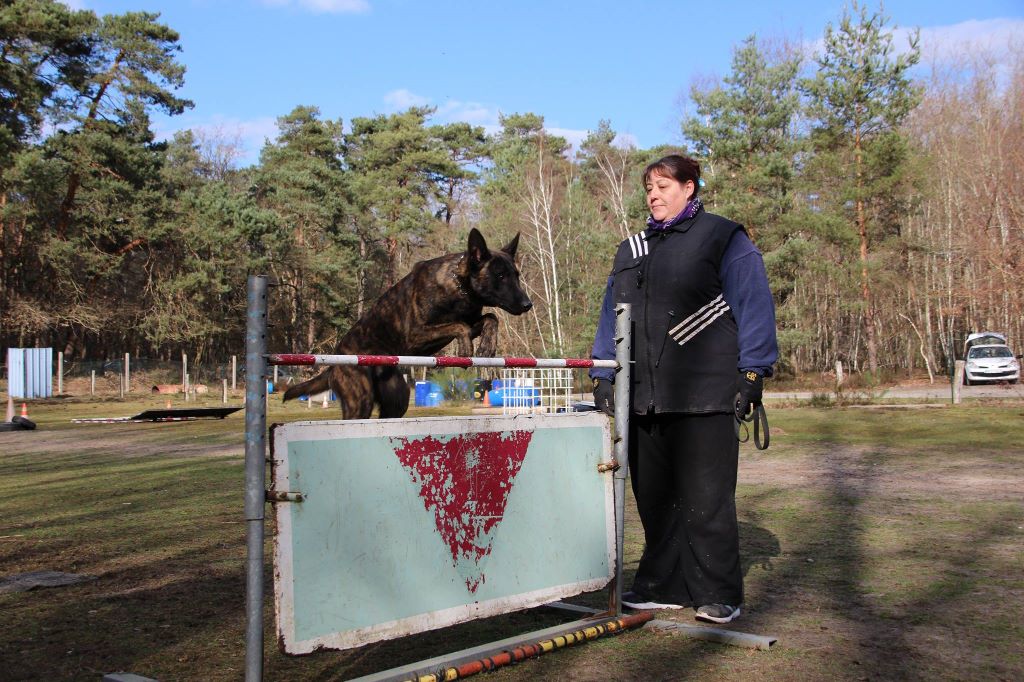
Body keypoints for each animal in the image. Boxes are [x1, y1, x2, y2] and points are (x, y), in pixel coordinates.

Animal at [282, 228, 532, 417]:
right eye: (500, 276)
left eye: (517, 275)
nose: (527, 304)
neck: (460, 288)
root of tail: (334, 363)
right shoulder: (416, 335)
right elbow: (458, 325)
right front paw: (465, 348)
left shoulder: (470, 322)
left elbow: (490, 317)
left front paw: (487, 345)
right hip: (359, 400)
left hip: (397, 399)